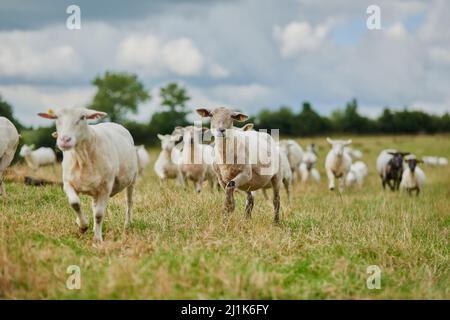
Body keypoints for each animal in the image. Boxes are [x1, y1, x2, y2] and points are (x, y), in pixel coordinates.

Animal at [38, 108, 138, 242]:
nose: (64, 140)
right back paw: (94, 227)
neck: (82, 158)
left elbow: (99, 214)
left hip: (132, 180)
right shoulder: (67, 183)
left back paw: (127, 224)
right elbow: (75, 203)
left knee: (129, 202)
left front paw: (97, 239)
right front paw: (82, 225)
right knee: (94, 206)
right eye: (56, 118)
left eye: (83, 117)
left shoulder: (105, 187)